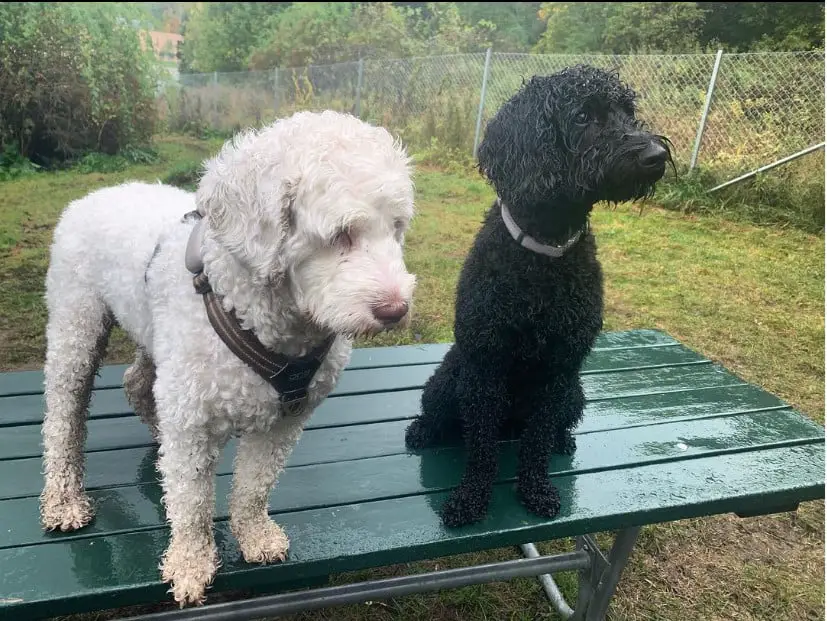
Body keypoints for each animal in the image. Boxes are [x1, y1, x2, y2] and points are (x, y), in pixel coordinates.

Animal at [40, 109, 414, 604]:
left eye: (397, 228)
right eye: (340, 234)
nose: (397, 310)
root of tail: (93, 196)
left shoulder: (285, 418)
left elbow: (255, 484)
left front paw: (255, 535)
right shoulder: (192, 419)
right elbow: (193, 503)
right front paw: (190, 564)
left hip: (154, 333)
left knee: (137, 382)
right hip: (76, 324)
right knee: (63, 416)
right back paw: (64, 500)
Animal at [406, 65, 672, 524]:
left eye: (628, 112)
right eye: (582, 117)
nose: (656, 154)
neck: (543, 257)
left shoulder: (558, 372)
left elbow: (535, 444)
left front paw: (535, 489)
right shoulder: (485, 368)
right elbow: (481, 449)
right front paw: (470, 499)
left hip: (573, 394)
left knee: (546, 429)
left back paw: (562, 441)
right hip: (447, 381)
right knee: (444, 417)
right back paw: (423, 430)